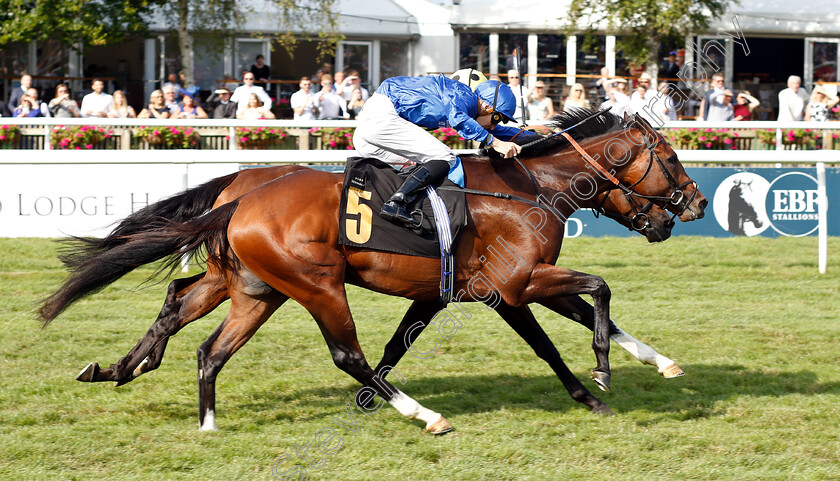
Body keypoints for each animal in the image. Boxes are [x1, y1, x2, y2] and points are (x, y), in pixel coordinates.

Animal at [41, 111, 708, 432]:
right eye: (671, 158)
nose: (695, 206)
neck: (525, 189)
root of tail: (240, 198)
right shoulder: (516, 283)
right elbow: (596, 295)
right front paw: (601, 374)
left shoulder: (483, 291)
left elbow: (561, 332)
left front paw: (648, 368)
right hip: (315, 286)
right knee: (344, 352)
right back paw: (424, 416)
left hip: (256, 288)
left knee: (198, 331)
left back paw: (163, 393)